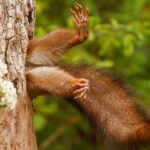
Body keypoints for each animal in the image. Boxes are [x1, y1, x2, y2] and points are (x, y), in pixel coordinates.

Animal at [26, 2, 150, 150]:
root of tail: (30, 66)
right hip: (33, 80)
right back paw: (77, 84)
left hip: (33, 49)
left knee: (47, 46)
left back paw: (80, 34)